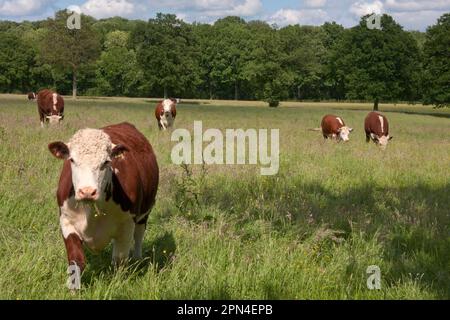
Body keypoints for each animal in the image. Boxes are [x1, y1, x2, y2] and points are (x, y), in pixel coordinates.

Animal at [47, 121, 159, 276]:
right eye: (72, 160)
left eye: (106, 162)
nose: (87, 191)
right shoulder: (67, 221)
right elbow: (76, 261)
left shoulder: (126, 225)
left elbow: (119, 260)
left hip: (144, 213)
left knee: (138, 236)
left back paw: (138, 259)